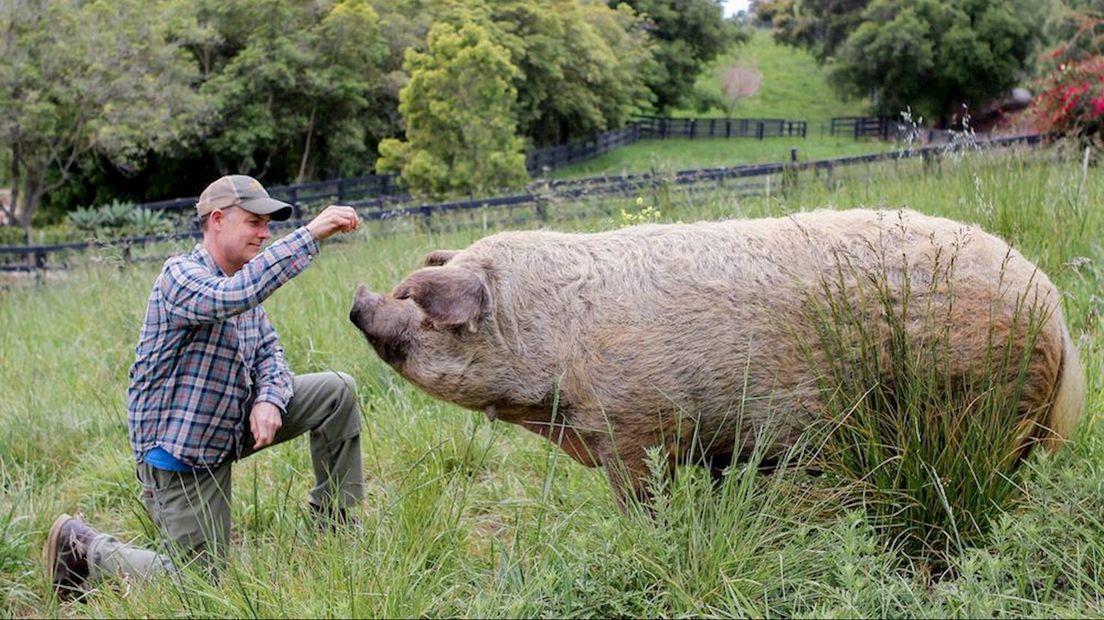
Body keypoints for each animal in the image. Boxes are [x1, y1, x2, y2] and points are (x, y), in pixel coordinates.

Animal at [348, 209, 1081, 505]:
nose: (356, 298)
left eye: (414, 301)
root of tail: (1053, 307)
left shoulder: (634, 426)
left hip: (983, 401)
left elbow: (641, 499)